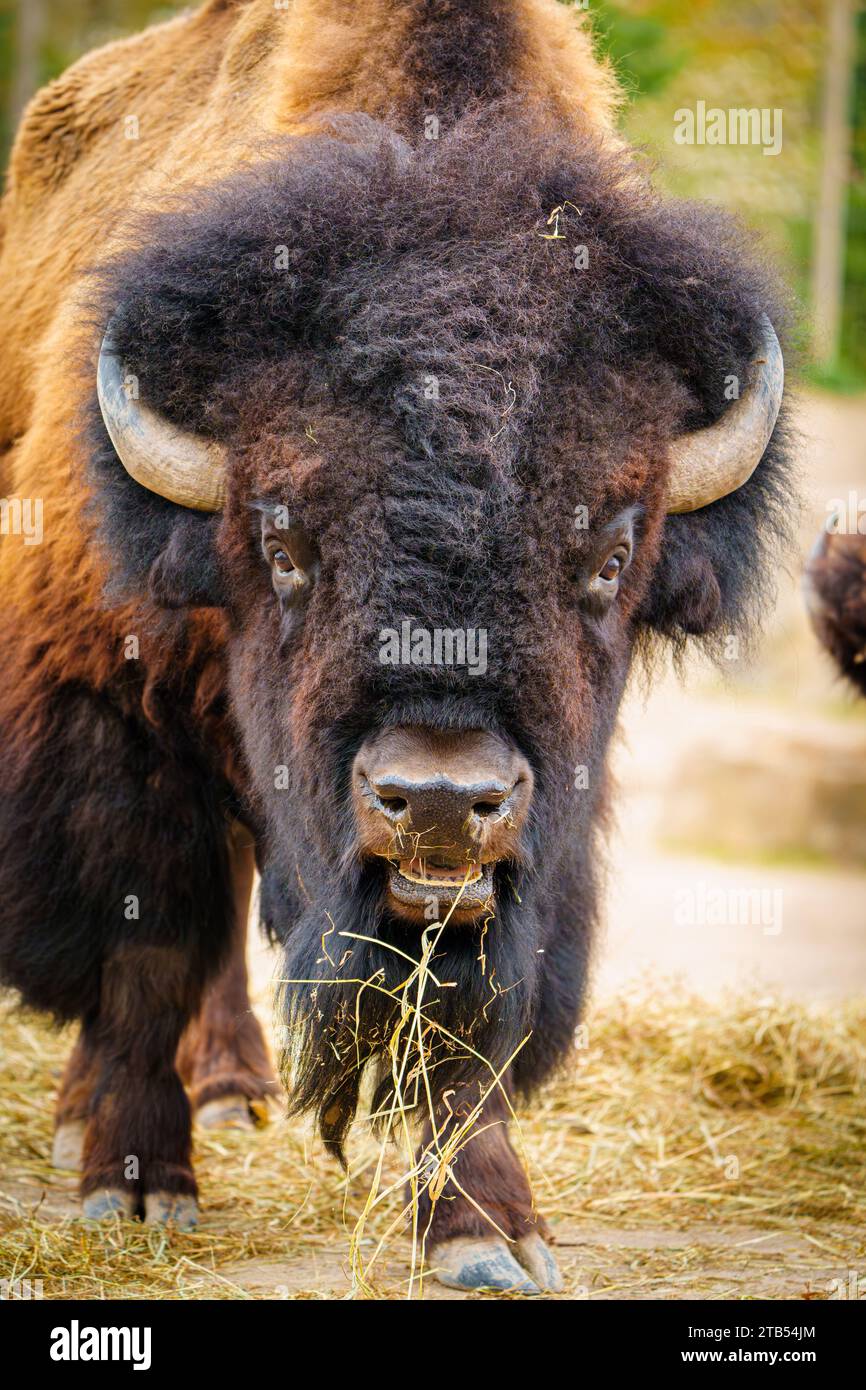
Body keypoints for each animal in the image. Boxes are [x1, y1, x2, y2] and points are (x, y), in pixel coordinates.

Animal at [0, 0, 790, 1293]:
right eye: (280, 543)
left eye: (609, 554)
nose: (437, 799)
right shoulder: (111, 708)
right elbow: (147, 945)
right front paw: (135, 1184)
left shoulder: (539, 840)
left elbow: (469, 1026)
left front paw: (487, 1230)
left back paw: (233, 1090)